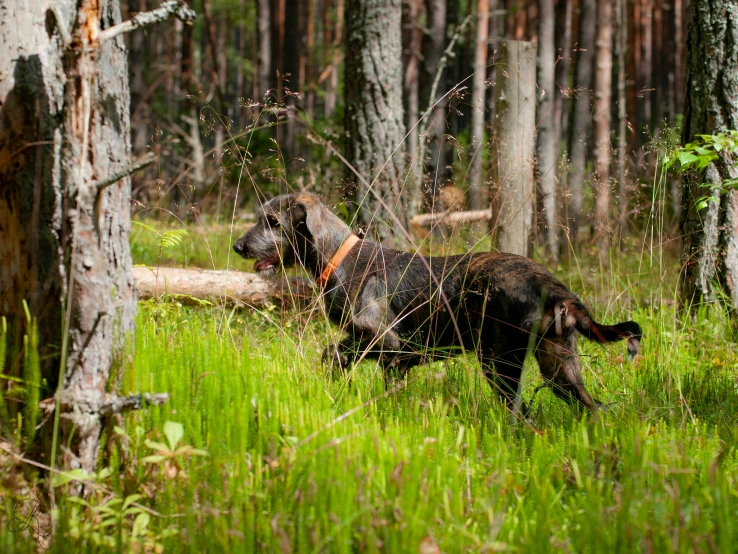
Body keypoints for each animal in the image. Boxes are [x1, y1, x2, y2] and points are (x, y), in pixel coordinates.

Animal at [234, 192, 640, 412]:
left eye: (272, 221)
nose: (237, 246)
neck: (341, 258)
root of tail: (554, 287)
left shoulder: (387, 341)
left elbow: (349, 359)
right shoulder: (373, 344)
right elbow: (336, 355)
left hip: (499, 363)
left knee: (520, 413)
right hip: (559, 366)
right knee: (591, 409)